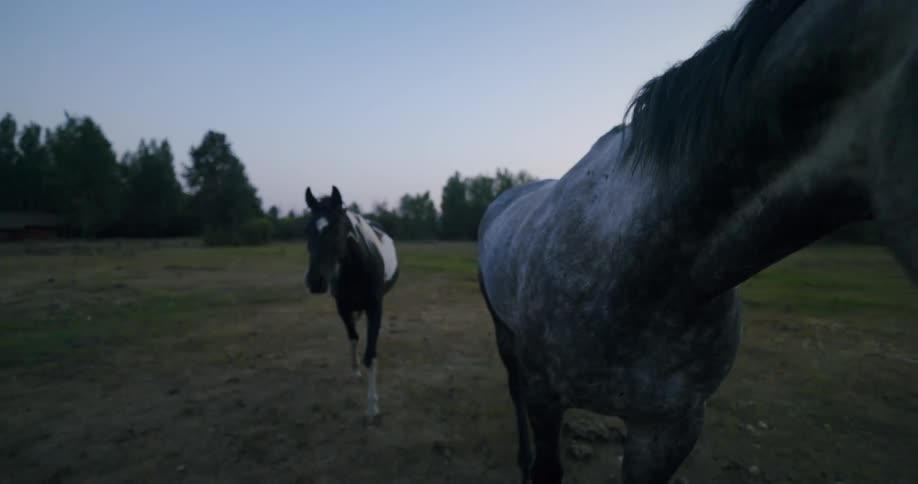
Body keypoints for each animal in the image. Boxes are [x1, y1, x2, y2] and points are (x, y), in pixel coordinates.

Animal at [304, 186, 399, 421]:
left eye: (337, 227)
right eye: (308, 228)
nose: (315, 281)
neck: (356, 269)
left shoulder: (375, 308)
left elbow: (370, 355)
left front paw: (372, 407)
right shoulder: (343, 308)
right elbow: (353, 337)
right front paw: (355, 370)